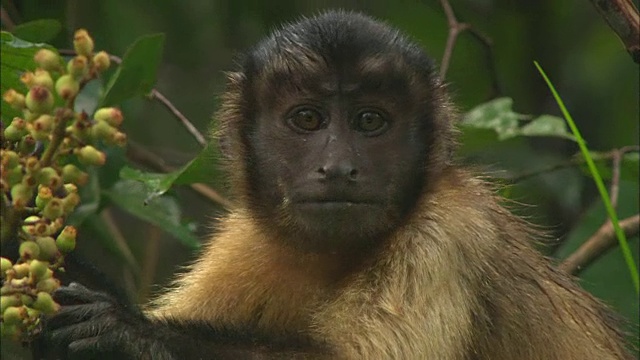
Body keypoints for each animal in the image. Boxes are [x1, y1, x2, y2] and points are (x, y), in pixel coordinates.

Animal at [37, 9, 632, 358]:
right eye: (308, 119)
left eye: (370, 121)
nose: (340, 167)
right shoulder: (245, 241)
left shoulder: (449, 230)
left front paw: (129, 332)